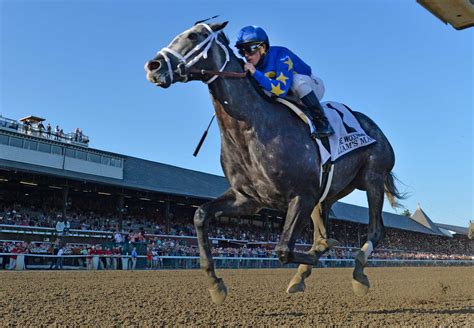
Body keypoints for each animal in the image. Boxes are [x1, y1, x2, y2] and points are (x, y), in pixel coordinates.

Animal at [144, 22, 404, 304]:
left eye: (193, 36)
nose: (154, 66)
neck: (252, 126)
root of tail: (373, 126)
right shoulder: (249, 199)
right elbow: (201, 215)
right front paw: (215, 284)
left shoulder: (301, 196)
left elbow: (283, 249)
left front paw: (325, 253)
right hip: (328, 192)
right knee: (322, 232)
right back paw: (303, 273)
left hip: (373, 177)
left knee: (376, 230)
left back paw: (358, 274)